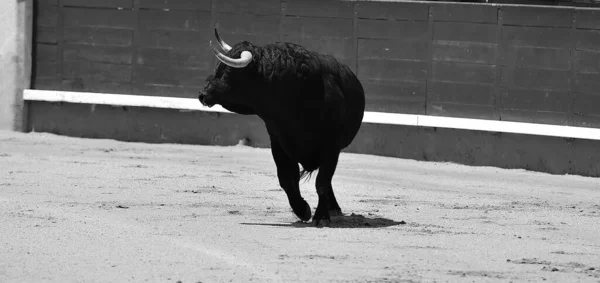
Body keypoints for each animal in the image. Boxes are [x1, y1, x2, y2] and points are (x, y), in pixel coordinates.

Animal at [198, 28, 366, 227]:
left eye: (229, 72)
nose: (202, 94)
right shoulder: (279, 142)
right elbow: (286, 179)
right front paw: (303, 210)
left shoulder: (331, 147)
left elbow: (322, 182)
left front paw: (321, 217)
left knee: (325, 179)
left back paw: (332, 209)